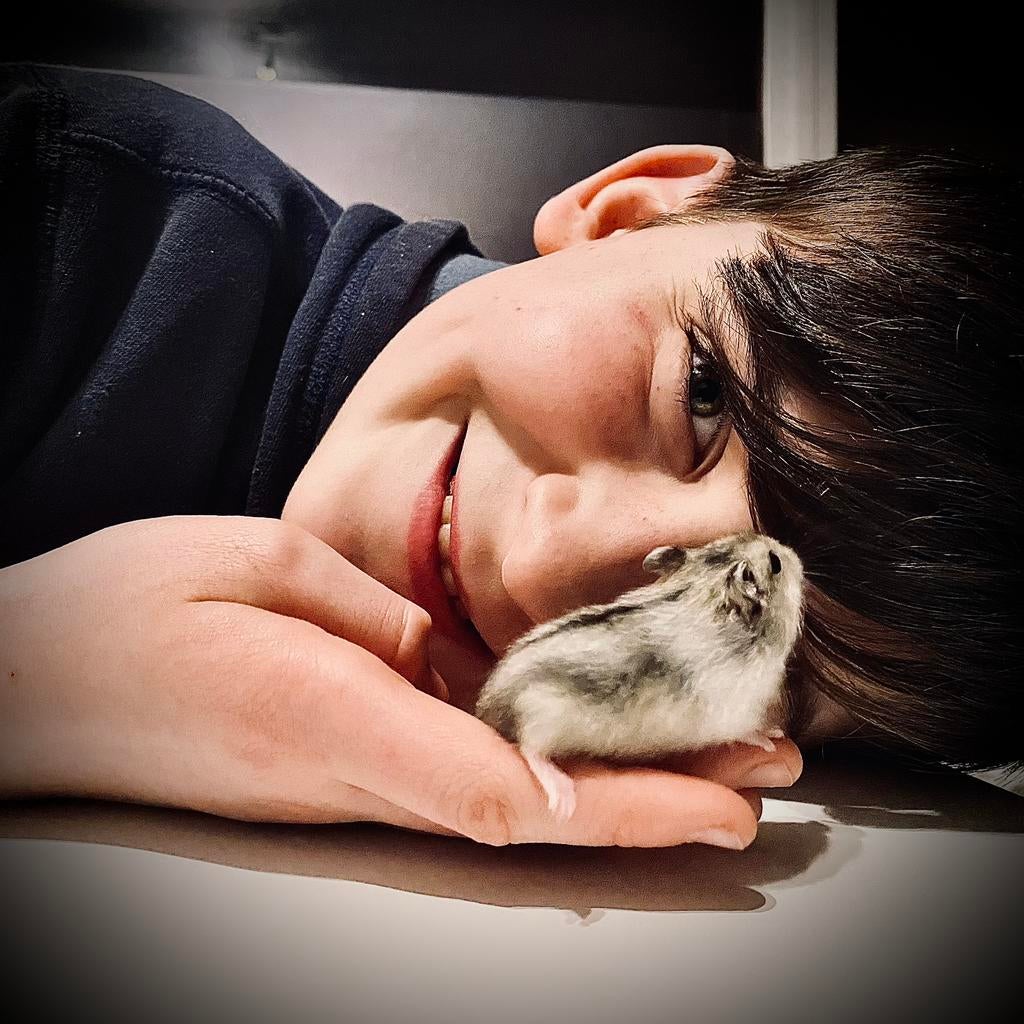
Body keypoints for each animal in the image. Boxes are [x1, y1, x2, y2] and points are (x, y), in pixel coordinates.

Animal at [474, 532, 804, 820]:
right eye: (775, 562)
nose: (794, 554)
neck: (703, 593)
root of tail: (487, 707)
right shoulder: (735, 711)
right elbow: (749, 731)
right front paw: (772, 737)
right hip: (542, 712)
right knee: (530, 748)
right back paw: (563, 799)